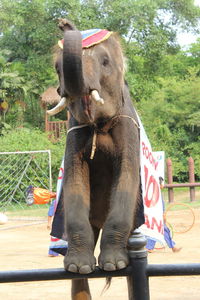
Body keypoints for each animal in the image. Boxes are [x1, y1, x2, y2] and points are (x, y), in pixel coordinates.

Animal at [49, 19, 144, 300]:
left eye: (104, 62)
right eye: (57, 68)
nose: (64, 22)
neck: (98, 124)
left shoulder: (128, 124)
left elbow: (127, 173)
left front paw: (114, 264)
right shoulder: (73, 130)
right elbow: (74, 178)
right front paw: (78, 266)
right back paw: (78, 268)